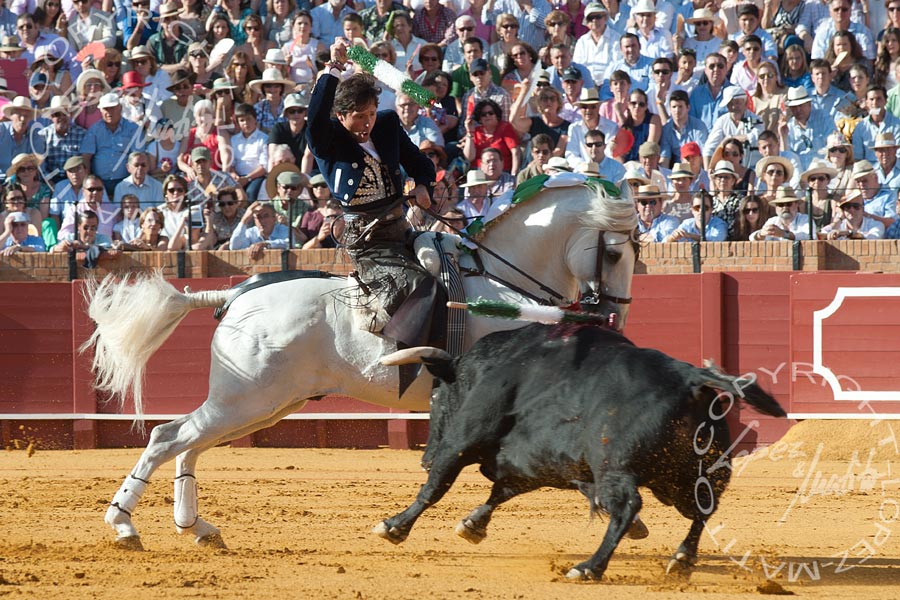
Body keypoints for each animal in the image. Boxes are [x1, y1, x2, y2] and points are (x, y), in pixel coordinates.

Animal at [81, 180, 636, 552]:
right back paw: (125, 525)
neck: (501, 284)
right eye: (612, 252)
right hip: (246, 400)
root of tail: (235, 293)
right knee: (167, 437)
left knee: (186, 443)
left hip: (262, 404)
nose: (616, 312)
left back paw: (196, 527)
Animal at [376, 324, 784, 580]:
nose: (424, 457)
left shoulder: (464, 438)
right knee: (703, 509)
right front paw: (474, 523)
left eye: (434, 397)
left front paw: (394, 526)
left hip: (614, 466)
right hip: (700, 472)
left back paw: (589, 567)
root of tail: (690, 378)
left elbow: (436, 487)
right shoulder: (531, 460)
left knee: (627, 506)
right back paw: (681, 560)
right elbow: (502, 491)